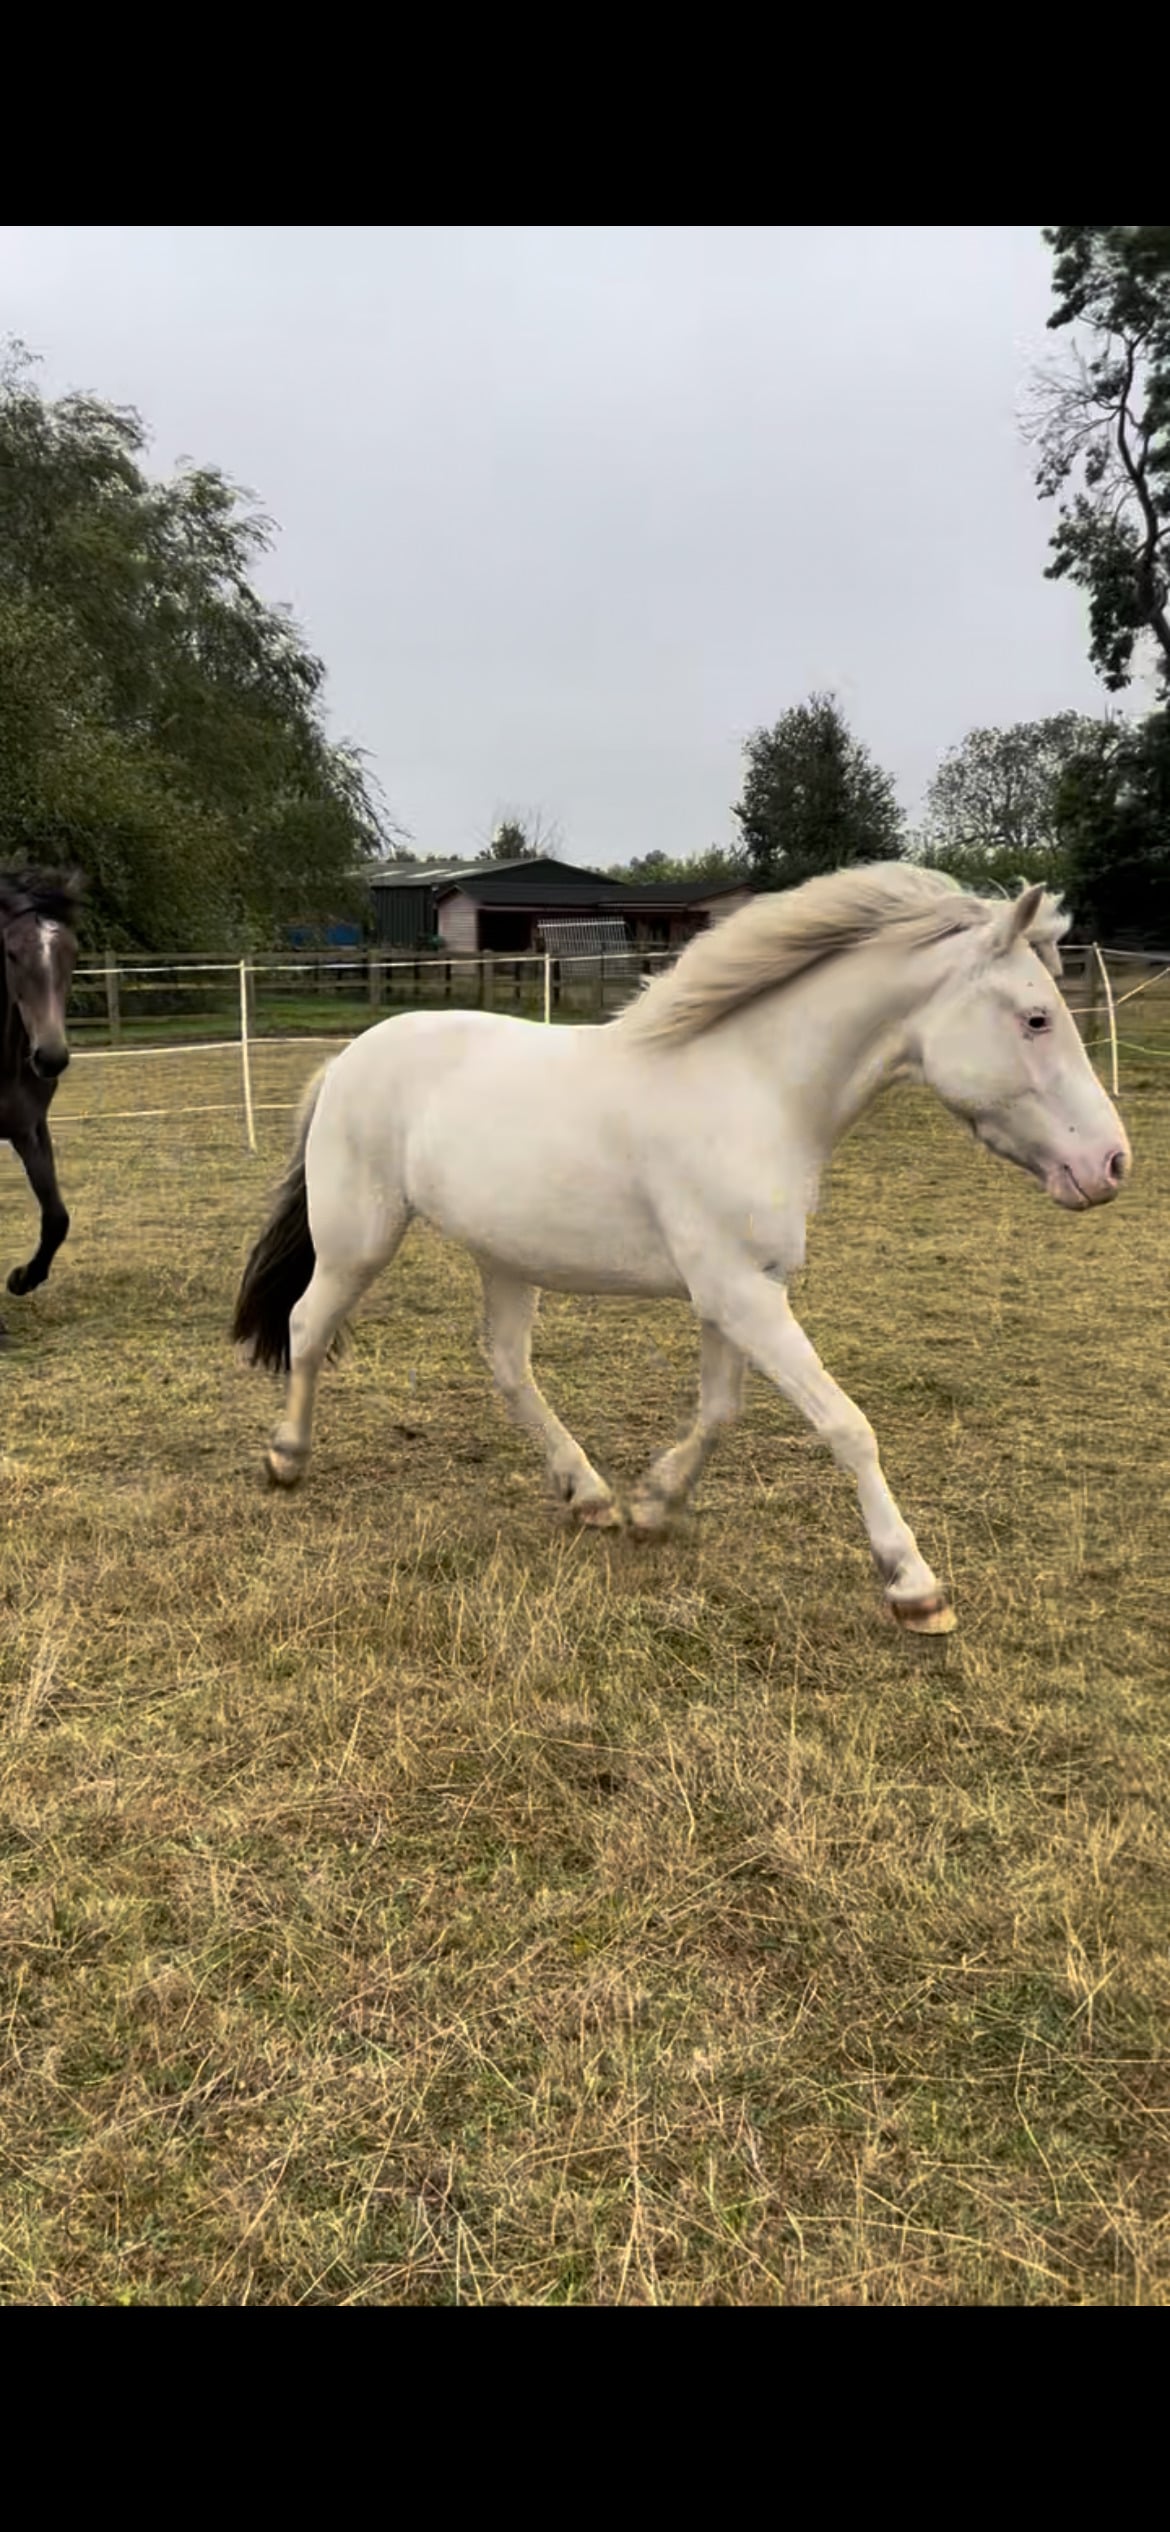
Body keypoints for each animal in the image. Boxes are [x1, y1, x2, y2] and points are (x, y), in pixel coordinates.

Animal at [233, 864, 1130, 1634]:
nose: (1111, 1164)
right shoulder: (741, 1293)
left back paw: (588, 1495)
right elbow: (847, 1425)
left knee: (508, 1366)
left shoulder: (737, 1292)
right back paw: (286, 1458)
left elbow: (720, 1410)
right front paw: (914, 1586)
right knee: (308, 1327)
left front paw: (653, 1507)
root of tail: (348, 1058)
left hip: (506, 1258)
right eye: (1037, 1018)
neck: (755, 1089)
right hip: (358, 1240)